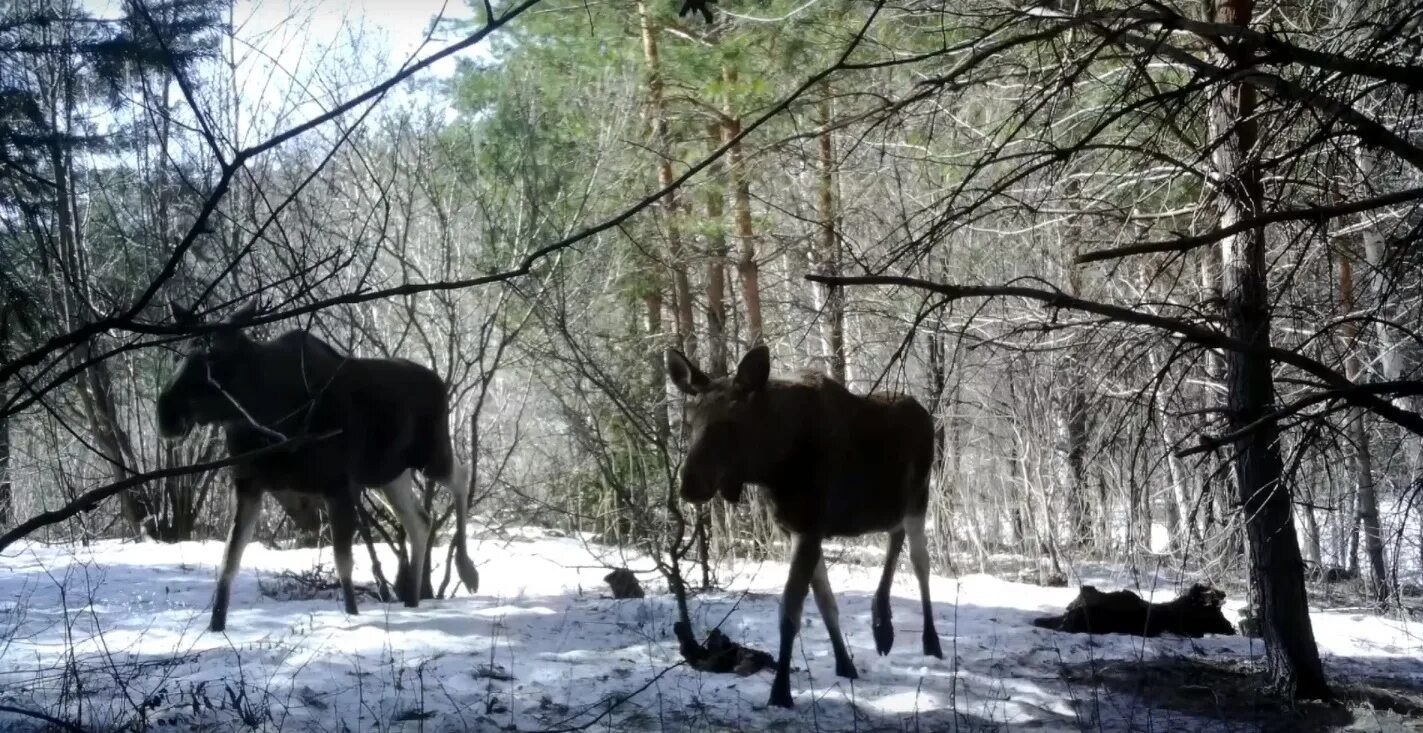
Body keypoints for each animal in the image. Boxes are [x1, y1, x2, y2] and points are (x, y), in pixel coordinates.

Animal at [155, 301, 478, 634]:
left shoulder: (338, 484)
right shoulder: (248, 485)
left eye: (214, 356)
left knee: (461, 476)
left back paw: (466, 569)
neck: (267, 415)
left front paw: (351, 616)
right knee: (420, 520)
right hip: (388, 474)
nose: (166, 412)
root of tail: (440, 383)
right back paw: (413, 597)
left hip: (430, 455)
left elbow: (342, 561)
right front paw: (215, 624)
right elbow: (229, 557)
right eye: (179, 352)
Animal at [665, 347, 944, 708]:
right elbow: (825, 603)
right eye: (689, 422)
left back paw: (930, 640)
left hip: (918, 499)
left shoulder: (810, 527)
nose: (689, 486)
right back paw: (882, 623)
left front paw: (781, 691)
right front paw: (844, 663)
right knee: (895, 538)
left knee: (921, 563)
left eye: (729, 424)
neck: (772, 466)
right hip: (890, 507)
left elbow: (790, 611)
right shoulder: (796, 530)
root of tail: (926, 413)